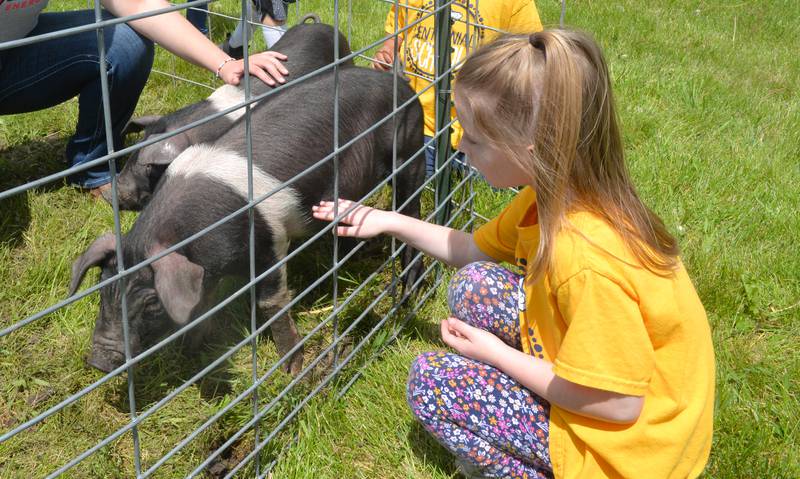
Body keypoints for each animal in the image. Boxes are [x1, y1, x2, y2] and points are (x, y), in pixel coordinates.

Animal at [70, 66, 424, 376]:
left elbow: (271, 303)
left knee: (411, 213)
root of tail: (401, 83)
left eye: (152, 303)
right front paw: (190, 355)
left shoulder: (272, 239)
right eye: (103, 289)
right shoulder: (206, 269)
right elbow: (203, 305)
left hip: (409, 151)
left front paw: (292, 370)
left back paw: (412, 289)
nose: (99, 361)